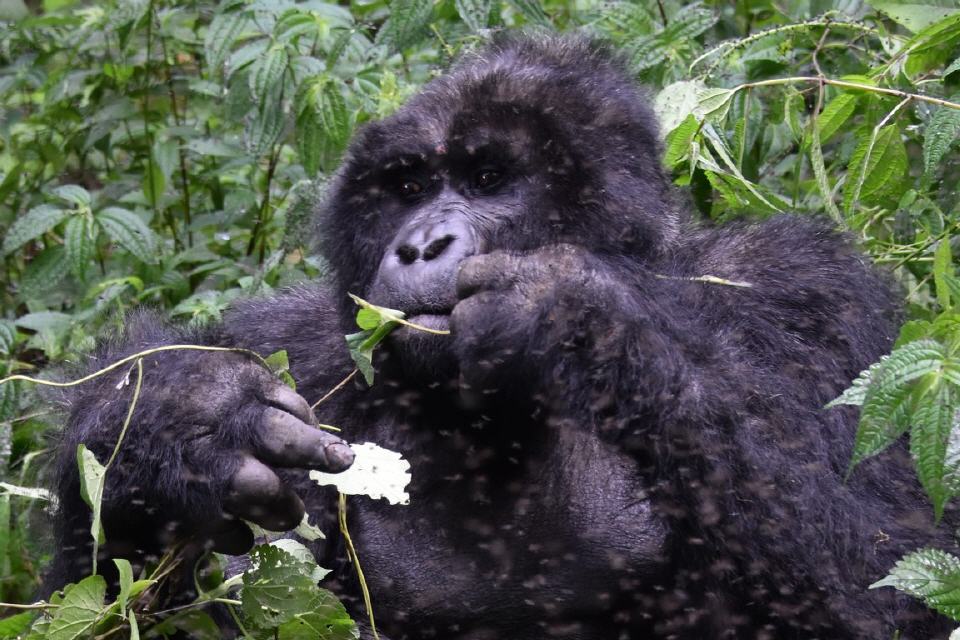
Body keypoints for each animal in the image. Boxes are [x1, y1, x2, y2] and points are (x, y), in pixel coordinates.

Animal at [50, 36, 952, 640]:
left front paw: (572, 318)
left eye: (488, 179)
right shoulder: (293, 344)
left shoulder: (810, 297)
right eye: (408, 186)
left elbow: (889, 574)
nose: (420, 246)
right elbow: (103, 594)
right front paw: (182, 416)